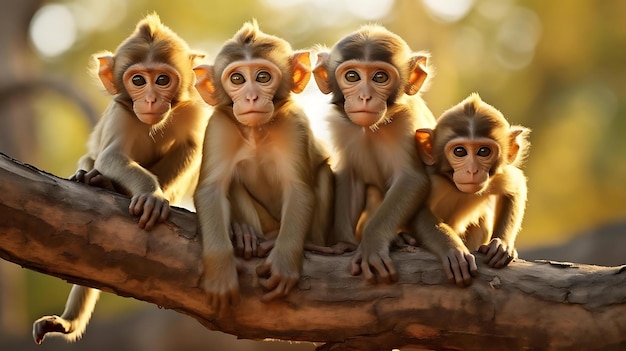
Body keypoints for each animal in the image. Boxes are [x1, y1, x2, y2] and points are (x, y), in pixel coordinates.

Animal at [32, 13, 207, 344]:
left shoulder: (192, 110)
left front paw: (158, 195)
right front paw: (151, 195)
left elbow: (191, 148)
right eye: (138, 80)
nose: (150, 100)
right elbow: (110, 157)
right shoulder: (121, 111)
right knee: (92, 164)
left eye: (162, 80)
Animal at [194, 20, 332, 314]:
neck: (256, 132)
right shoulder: (219, 126)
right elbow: (211, 189)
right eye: (237, 79)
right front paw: (220, 273)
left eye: (263, 77)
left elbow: (299, 189)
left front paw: (284, 265)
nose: (251, 97)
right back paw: (247, 233)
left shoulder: (294, 124)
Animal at [310, 24, 434, 284]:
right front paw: (345, 244)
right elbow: (351, 178)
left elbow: (412, 179)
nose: (365, 97)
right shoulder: (342, 126)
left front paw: (372, 244)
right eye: (352, 76)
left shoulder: (408, 121)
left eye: (380, 77)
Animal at [412, 93, 528, 286]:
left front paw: (501, 245)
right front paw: (453, 250)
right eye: (459, 151)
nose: (472, 170)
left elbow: (515, 188)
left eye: (483, 151)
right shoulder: (432, 179)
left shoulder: (496, 175)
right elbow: (415, 209)